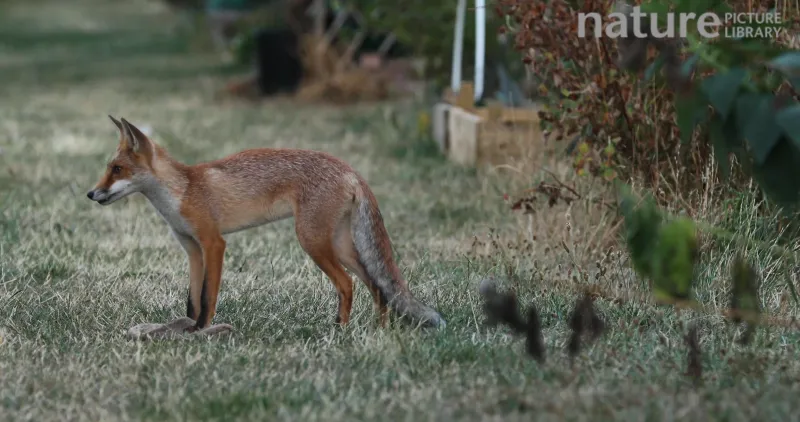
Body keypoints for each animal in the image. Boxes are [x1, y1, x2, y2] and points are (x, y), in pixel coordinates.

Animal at [92, 116, 450, 332]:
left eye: (117, 169)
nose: (91, 194)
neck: (182, 191)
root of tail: (349, 168)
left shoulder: (213, 243)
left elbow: (208, 296)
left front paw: (202, 332)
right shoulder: (192, 249)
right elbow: (192, 299)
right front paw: (188, 328)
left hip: (312, 242)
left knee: (348, 284)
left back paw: (340, 329)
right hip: (342, 246)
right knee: (378, 286)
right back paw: (379, 330)